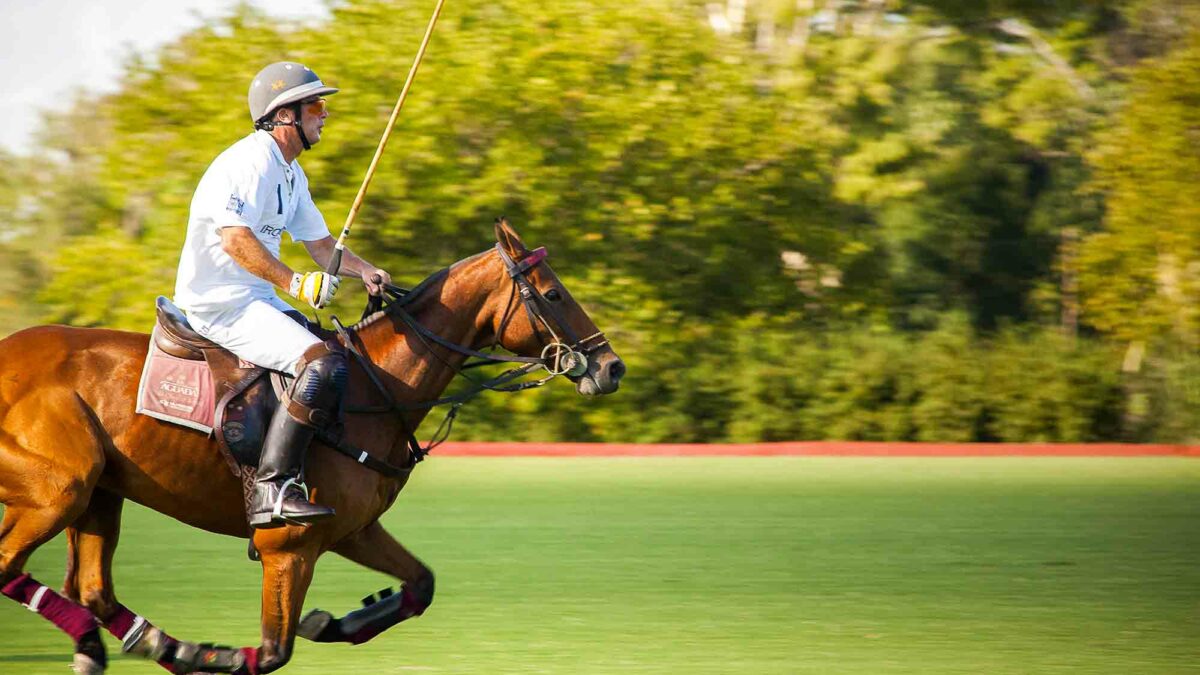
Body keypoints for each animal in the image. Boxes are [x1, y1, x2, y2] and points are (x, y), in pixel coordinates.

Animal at [0, 219, 624, 674]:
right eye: (553, 293)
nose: (611, 367)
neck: (375, 388)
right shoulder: (288, 544)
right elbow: (272, 651)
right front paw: (233, 653)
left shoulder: (352, 529)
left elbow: (421, 584)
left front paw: (330, 622)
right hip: (61, 486)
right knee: (15, 565)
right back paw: (158, 648)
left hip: (100, 492)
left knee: (92, 589)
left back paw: (148, 646)